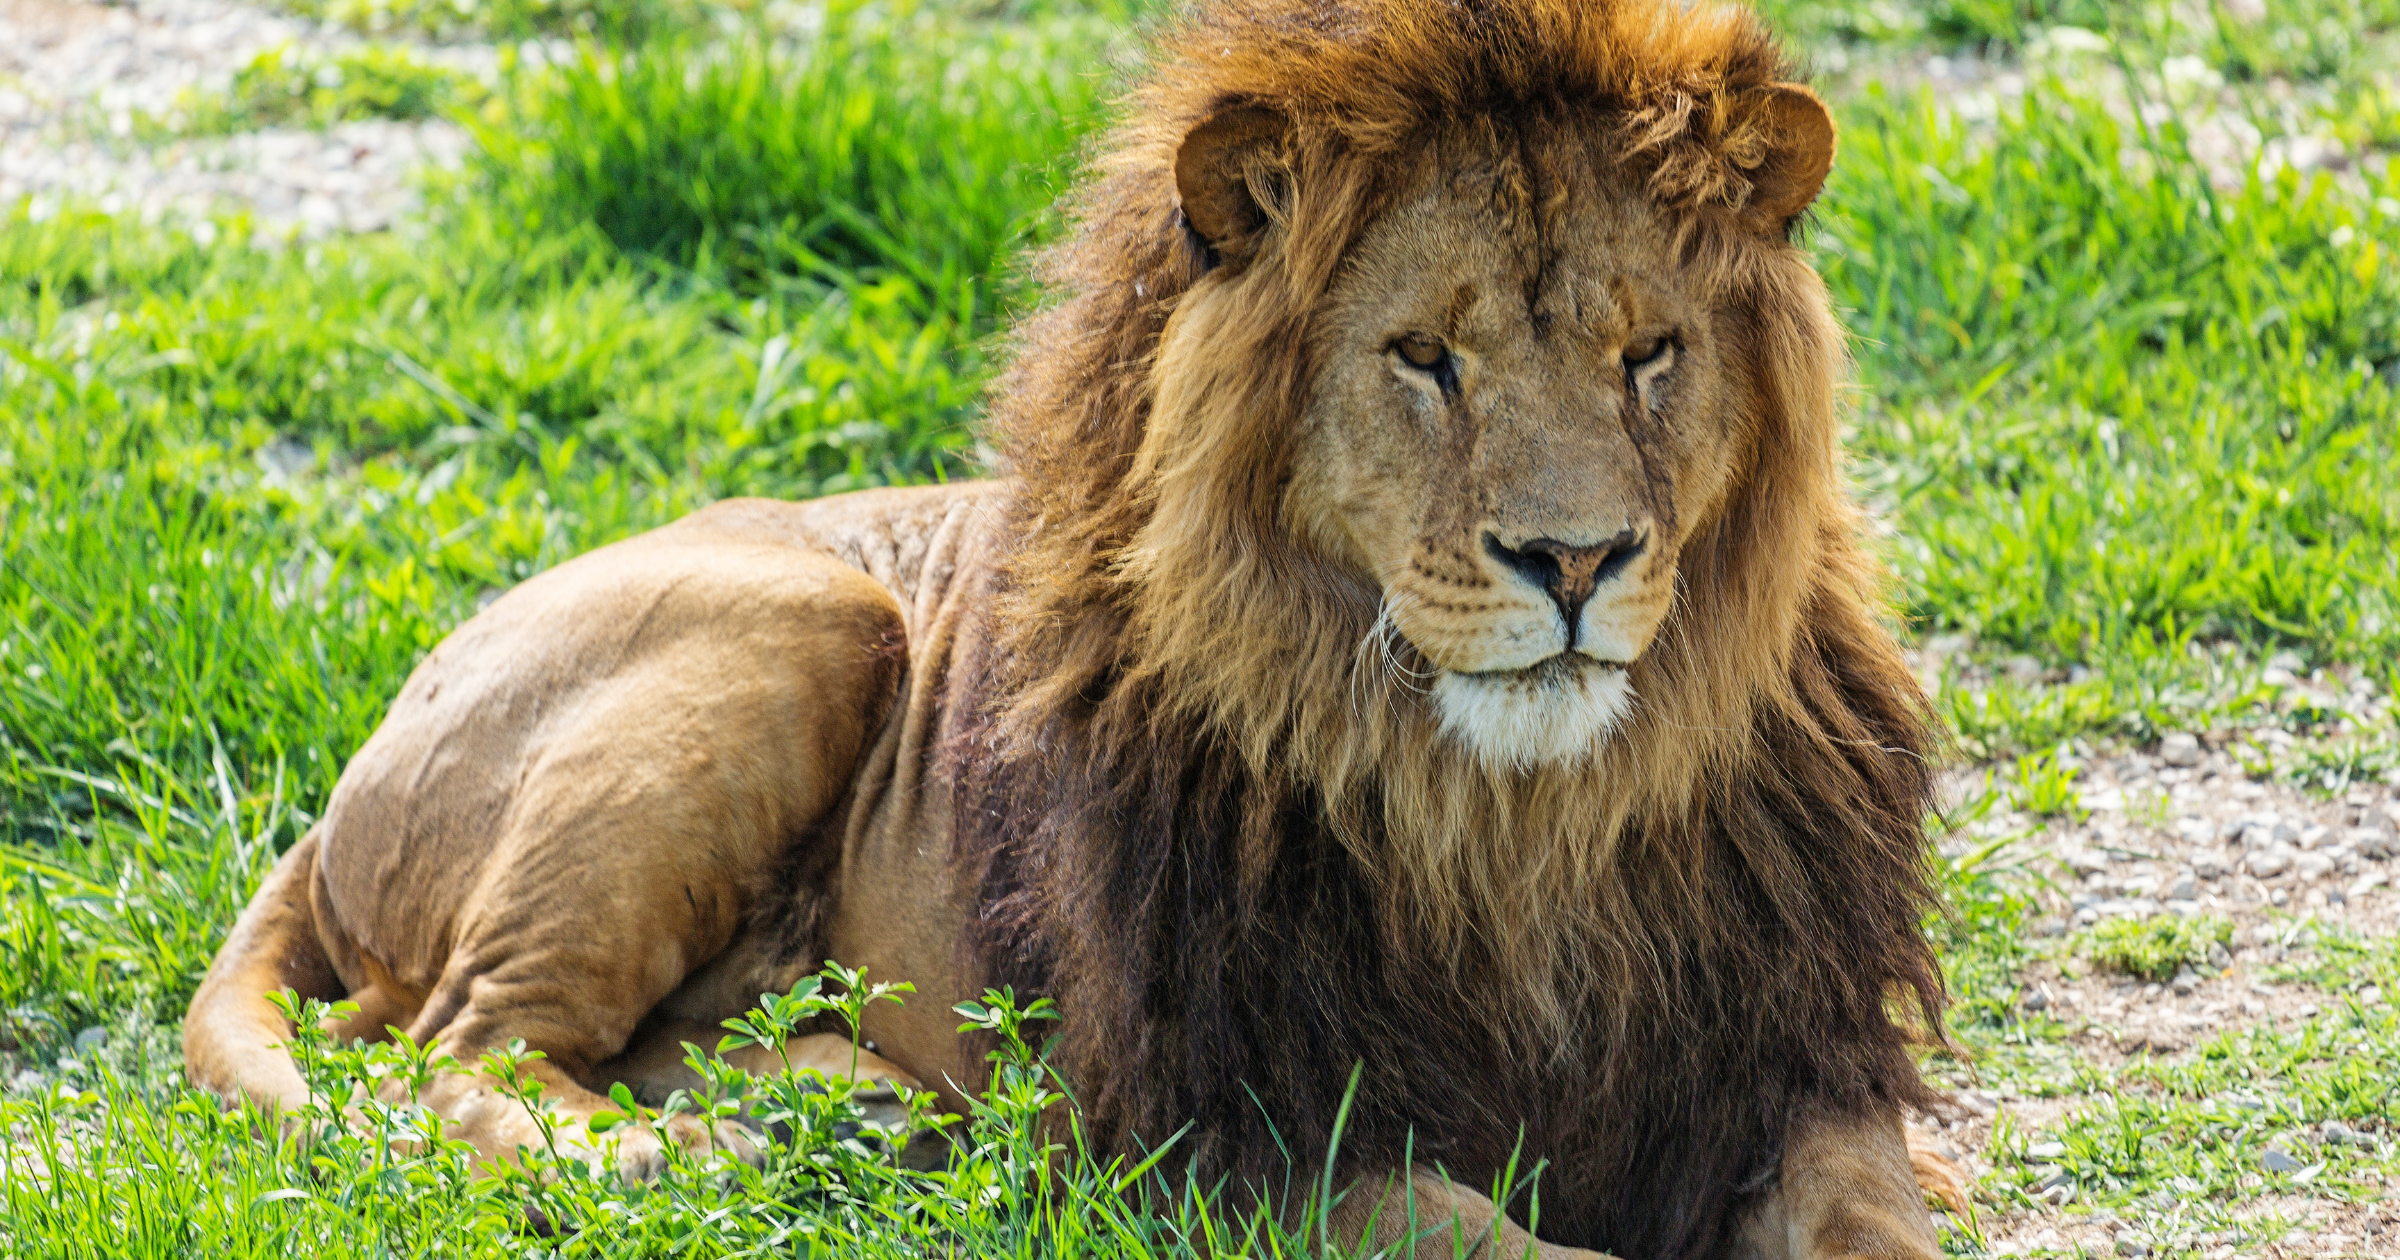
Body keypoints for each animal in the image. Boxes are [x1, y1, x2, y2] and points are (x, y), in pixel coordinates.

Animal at [183, 0, 1972, 1255]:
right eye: (1425, 357)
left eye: (1649, 353)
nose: (1577, 559)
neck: (1523, 818)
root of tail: (358, 764)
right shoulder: (1240, 1129)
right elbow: (1490, 1241)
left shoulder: (1788, 1066)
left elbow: (1871, 1216)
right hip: (805, 620)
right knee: (444, 1050)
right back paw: (675, 1153)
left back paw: (841, 1108)